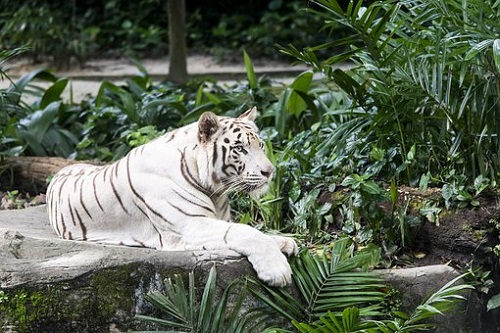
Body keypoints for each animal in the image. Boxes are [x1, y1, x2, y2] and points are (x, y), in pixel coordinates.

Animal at [46, 107, 296, 286]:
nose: (270, 171)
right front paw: (277, 270)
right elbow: (244, 232)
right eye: (240, 149)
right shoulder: (188, 226)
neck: (214, 189)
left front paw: (285, 242)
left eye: (261, 145)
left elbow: (254, 231)